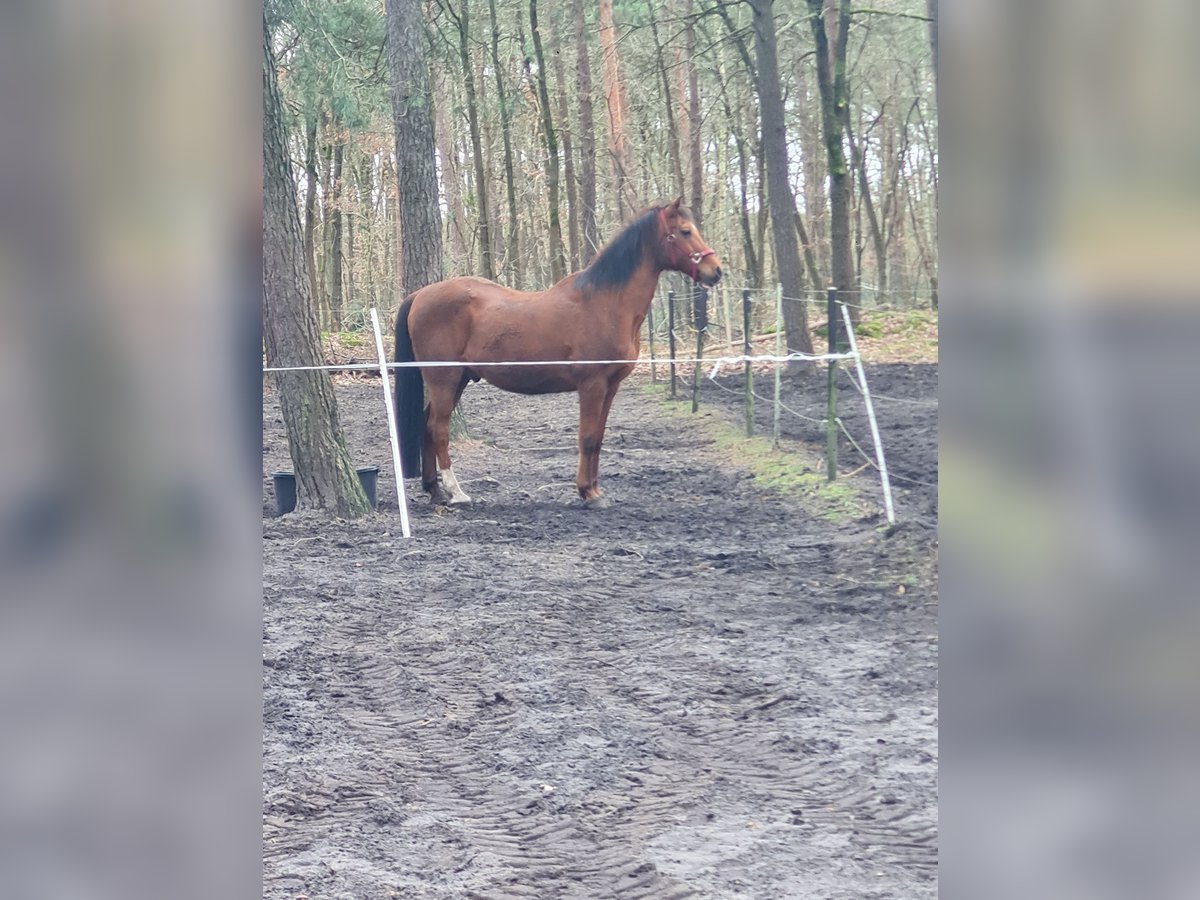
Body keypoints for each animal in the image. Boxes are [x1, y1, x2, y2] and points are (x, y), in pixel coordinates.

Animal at [391, 200, 720, 508]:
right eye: (685, 231)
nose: (715, 271)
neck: (606, 303)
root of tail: (420, 295)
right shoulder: (592, 385)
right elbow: (587, 437)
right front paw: (587, 493)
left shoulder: (611, 386)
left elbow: (598, 438)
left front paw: (595, 489)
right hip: (444, 379)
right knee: (439, 428)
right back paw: (456, 492)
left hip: (458, 379)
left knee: (427, 424)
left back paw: (435, 490)